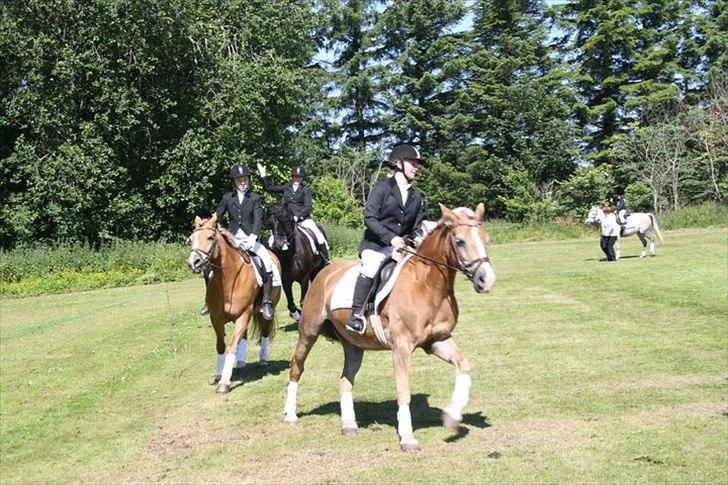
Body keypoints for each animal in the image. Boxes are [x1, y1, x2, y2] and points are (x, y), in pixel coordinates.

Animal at [185, 215, 282, 394]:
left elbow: (231, 346)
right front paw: (220, 374)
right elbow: (221, 346)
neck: (228, 279)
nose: (193, 263)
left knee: (265, 332)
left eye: (210, 237)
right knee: (243, 337)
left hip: (264, 310)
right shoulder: (216, 318)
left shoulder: (243, 314)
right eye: (191, 239)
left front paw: (225, 382)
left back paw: (263, 359)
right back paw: (241, 363)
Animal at [282, 203, 498, 450]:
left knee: (346, 380)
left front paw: (452, 416)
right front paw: (407, 437)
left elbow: (464, 365)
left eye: (486, 238)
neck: (427, 284)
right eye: (460, 241)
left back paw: (349, 424)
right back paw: (290, 415)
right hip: (308, 332)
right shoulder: (401, 348)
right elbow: (403, 391)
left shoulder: (437, 340)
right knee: (296, 367)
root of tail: (325, 272)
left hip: (354, 345)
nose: (486, 281)